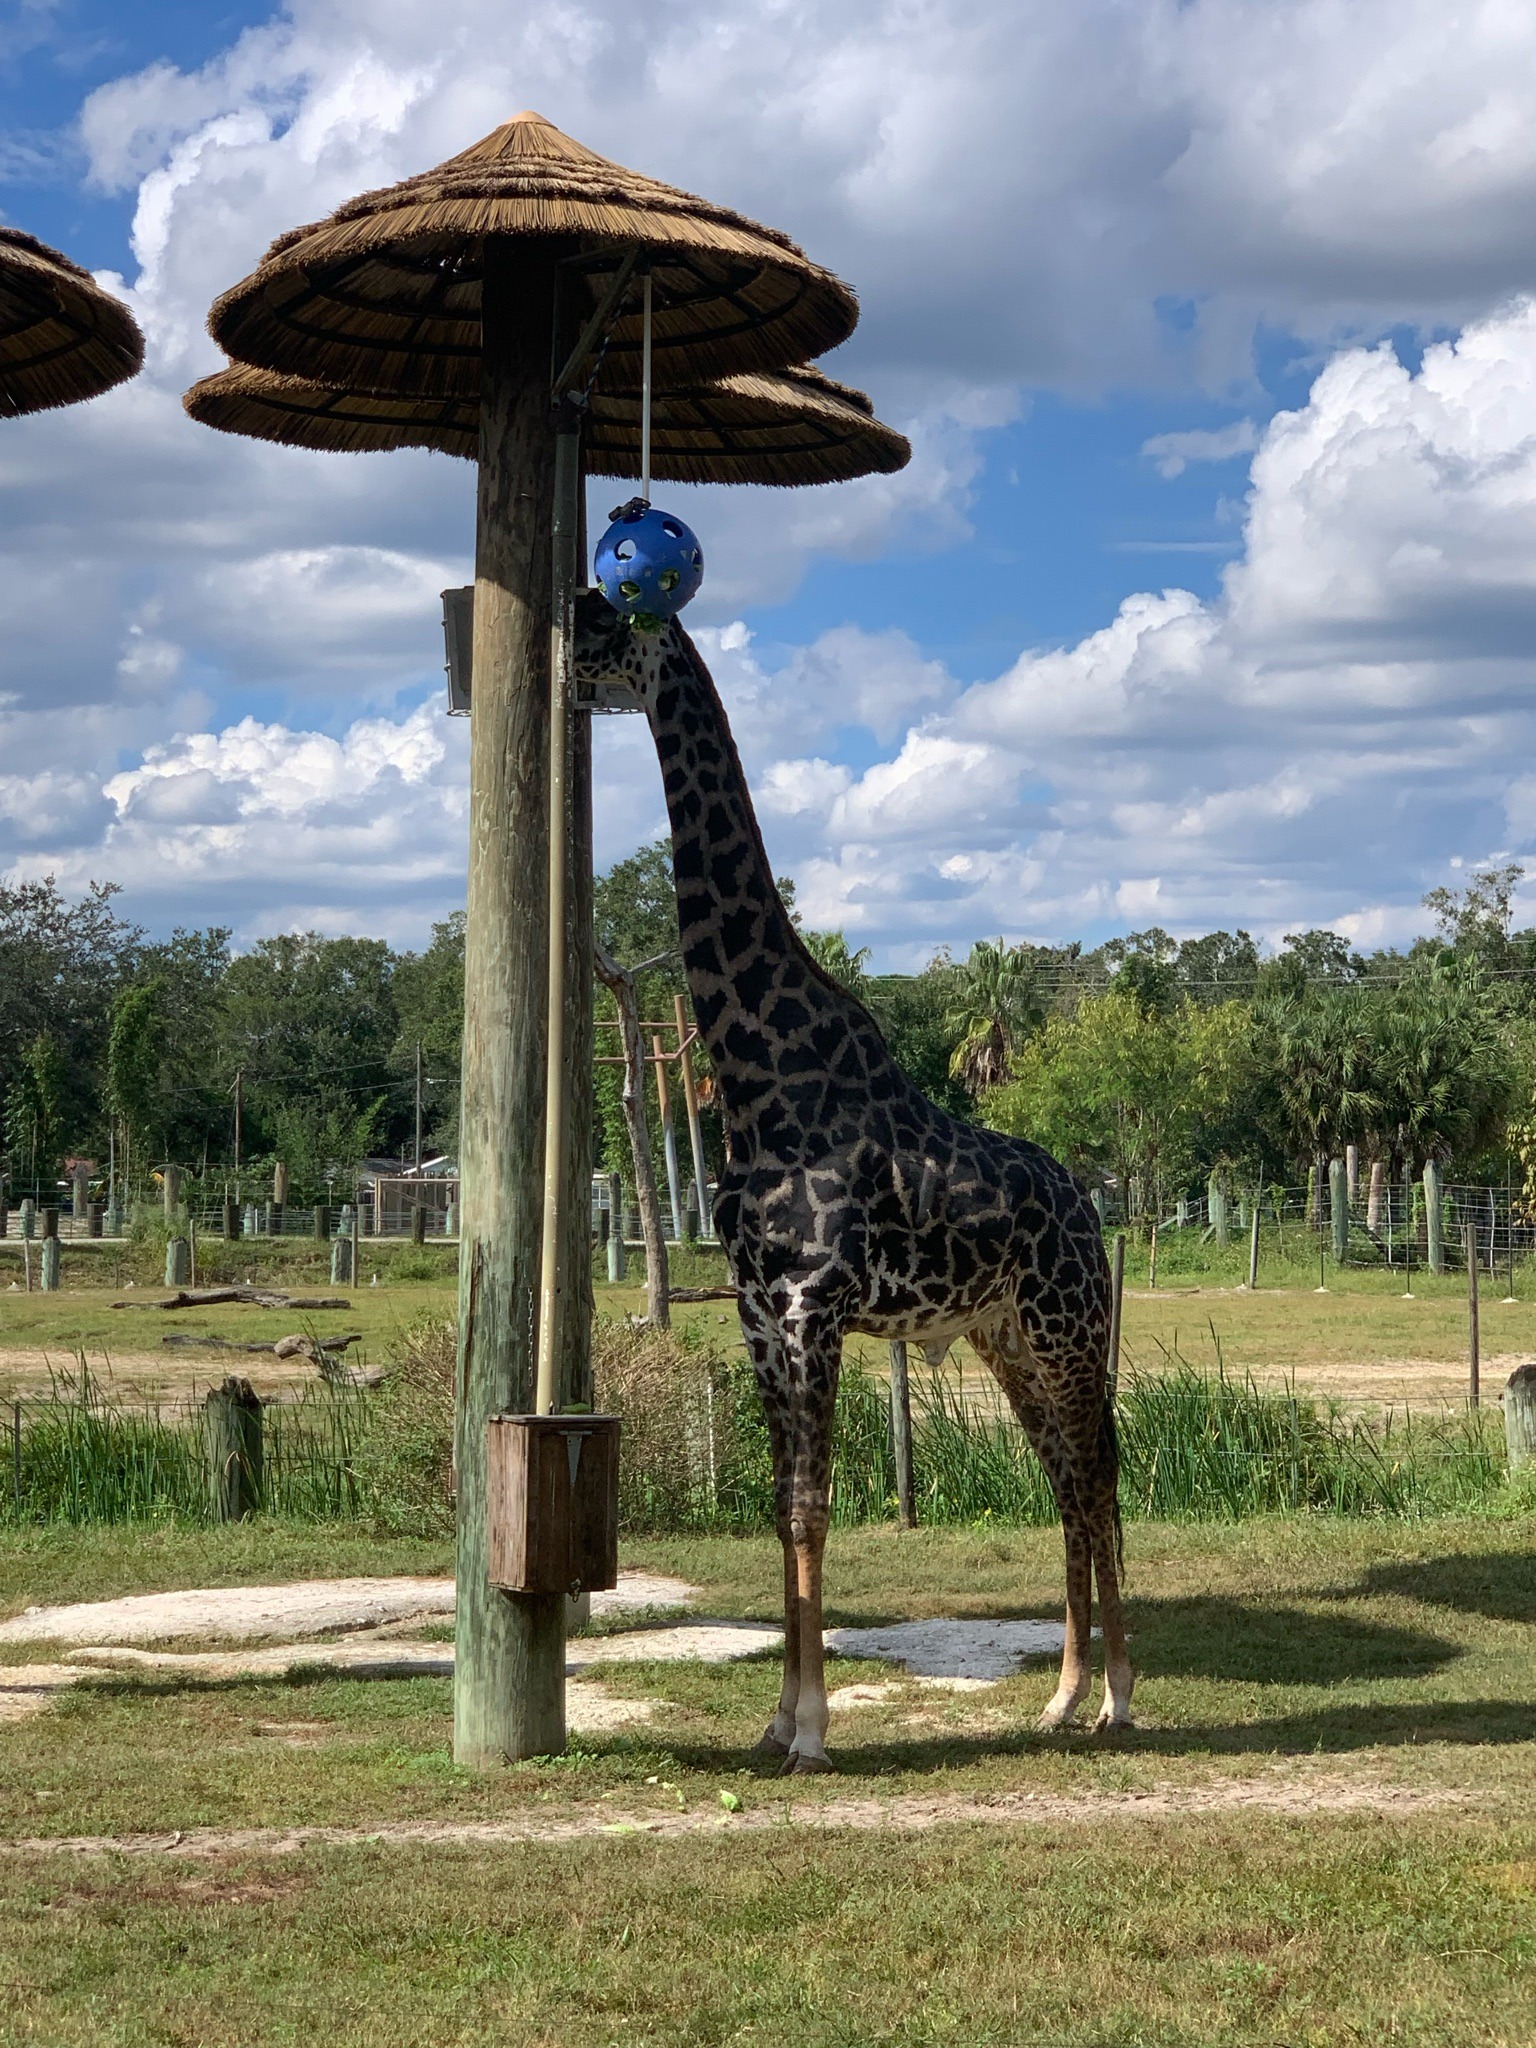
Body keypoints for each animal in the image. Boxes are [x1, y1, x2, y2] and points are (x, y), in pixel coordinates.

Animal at [576, 593, 1132, 1772]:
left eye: (603, 611)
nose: (561, 647)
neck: (755, 1069)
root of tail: (1086, 1204)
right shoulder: (757, 1310)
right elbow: (782, 1508)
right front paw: (777, 1720)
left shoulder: (811, 1305)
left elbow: (812, 1510)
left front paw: (815, 1733)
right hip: (1004, 1335)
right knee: (1066, 1476)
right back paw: (1063, 1696)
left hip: (1067, 1327)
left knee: (1099, 1472)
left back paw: (1118, 1693)